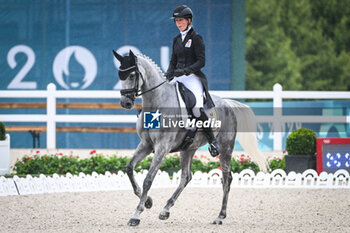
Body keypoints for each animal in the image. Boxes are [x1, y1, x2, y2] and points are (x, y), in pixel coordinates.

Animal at [113, 50, 268, 226]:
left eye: (132, 75)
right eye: (120, 75)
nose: (125, 103)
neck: (157, 103)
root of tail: (228, 103)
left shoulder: (162, 148)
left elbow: (148, 179)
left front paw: (136, 215)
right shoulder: (146, 144)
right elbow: (129, 168)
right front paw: (148, 202)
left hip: (226, 148)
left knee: (226, 178)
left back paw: (220, 216)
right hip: (188, 148)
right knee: (186, 176)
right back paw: (165, 210)